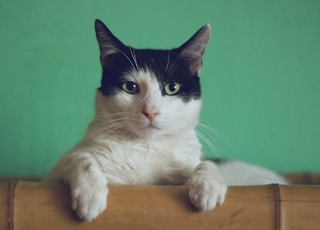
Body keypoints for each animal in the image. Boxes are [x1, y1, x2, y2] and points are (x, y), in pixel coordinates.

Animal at [45, 20, 288, 223]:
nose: (151, 111)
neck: (145, 147)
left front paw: (208, 186)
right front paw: (90, 195)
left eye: (172, 88)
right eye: (130, 87)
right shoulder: (52, 176)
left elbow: (203, 164)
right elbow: (80, 158)